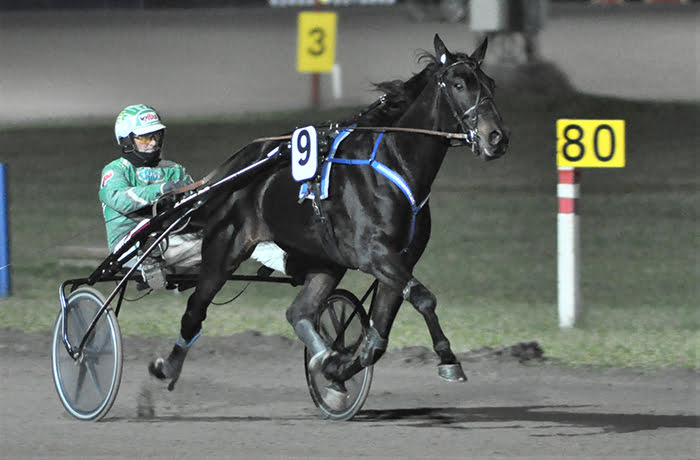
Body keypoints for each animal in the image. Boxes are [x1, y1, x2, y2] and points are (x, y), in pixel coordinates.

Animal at [150, 35, 508, 396]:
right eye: (458, 84)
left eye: (490, 83)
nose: (497, 138)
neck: (395, 164)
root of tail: (227, 174)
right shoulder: (375, 255)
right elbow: (423, 299)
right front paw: (448, 359)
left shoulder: (400, 260)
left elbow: (376, 340)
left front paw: (335, 368)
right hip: (223, 249)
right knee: (195, 310)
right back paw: (167, 366)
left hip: (325, 262)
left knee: (299, 311)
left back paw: (322, 356)